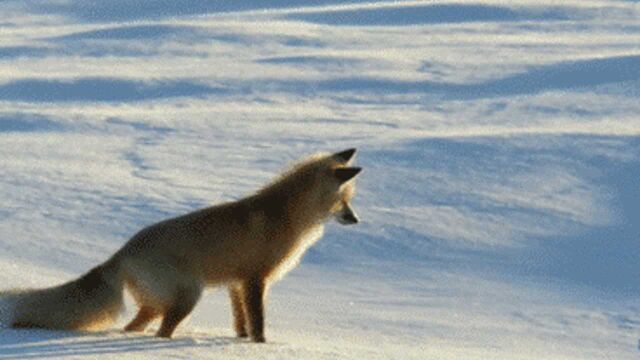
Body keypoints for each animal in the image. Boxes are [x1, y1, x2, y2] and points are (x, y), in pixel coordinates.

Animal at [5, 148, 360, 342]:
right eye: (344, 200)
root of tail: (122, 252)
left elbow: (240, 322)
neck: (285, 215)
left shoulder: (235, 283)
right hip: (188, 296)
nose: (355, 219)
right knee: (161, 331)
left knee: (133, 328)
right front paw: (261, 346)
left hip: (157, 304)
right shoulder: (254, 279)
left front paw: (241, 342)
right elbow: (257, 321)